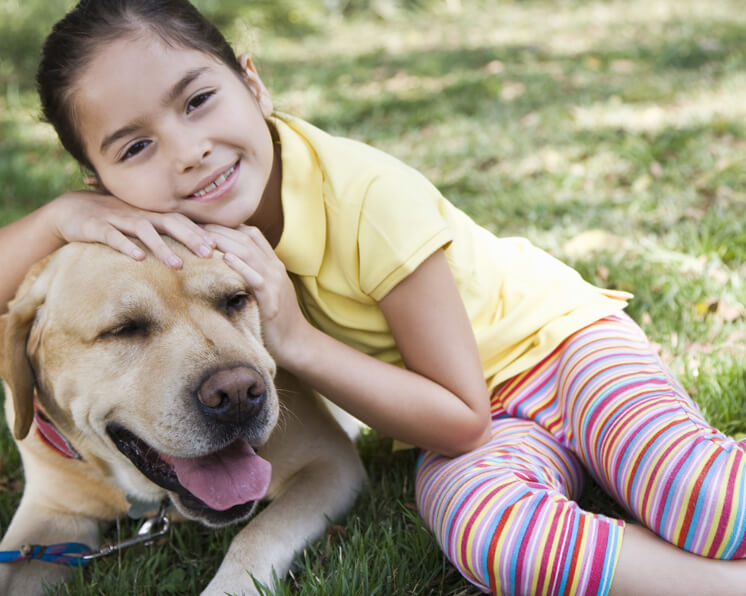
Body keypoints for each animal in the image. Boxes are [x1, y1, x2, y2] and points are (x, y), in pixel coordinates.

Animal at [0, 239, 364, 596]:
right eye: (124, 329)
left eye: (235, 300)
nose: (237, 394)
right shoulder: (49, 516)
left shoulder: (329, 463)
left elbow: (258, 532)